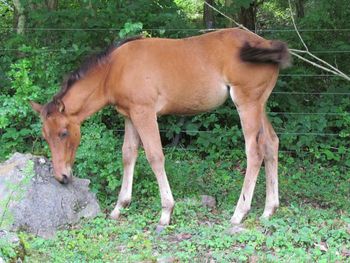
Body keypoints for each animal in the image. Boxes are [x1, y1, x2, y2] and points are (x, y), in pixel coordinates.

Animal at [32, 27, 290, 232]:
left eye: (63, 133)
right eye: (45, 136)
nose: (62, 176)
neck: (114, 69)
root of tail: (265, 44)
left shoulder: (145, 113)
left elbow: (155, 156)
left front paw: (166, 212)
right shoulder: (130, 116)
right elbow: (128, 155)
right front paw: (119, 207)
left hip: (246, 103)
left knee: (254, 151)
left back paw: (239, 213)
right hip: (260, 105)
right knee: (271, 143)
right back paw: (269, 209)